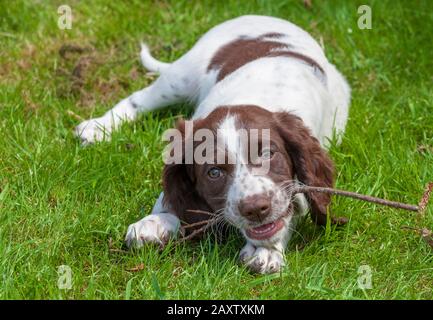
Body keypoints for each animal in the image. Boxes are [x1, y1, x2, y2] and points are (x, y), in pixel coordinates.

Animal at [75, 13, 352, 272]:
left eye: (267, 154)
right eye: (214, 172)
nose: (254, 209)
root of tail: (266, 16)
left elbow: (289, 209)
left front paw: (267, 250)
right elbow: (171, 195)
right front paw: (156, 222)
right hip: (181, 77)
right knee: (138, 99)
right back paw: (97, 128)